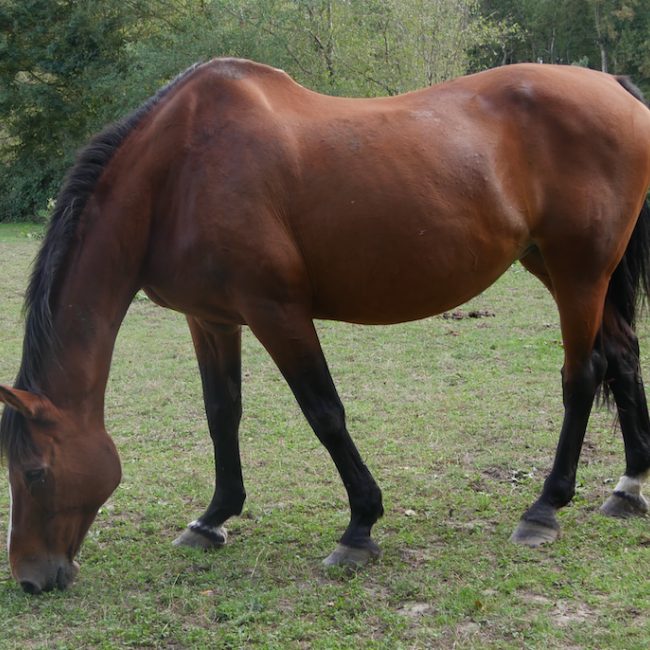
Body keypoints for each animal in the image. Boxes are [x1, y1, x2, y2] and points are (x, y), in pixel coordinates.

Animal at [1, 58, 650, 595]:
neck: (179, 172)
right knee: (622, 356)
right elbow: (221, 413)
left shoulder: (276, 312)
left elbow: (325, 414)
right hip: (557, 267)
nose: (31, 578)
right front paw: (213, 518)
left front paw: (359, 527)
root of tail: (613, 86)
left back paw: (545, 507)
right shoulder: (211, 319)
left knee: (582, 373)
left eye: (34, 473)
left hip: (579, 271)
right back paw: (629, 486)